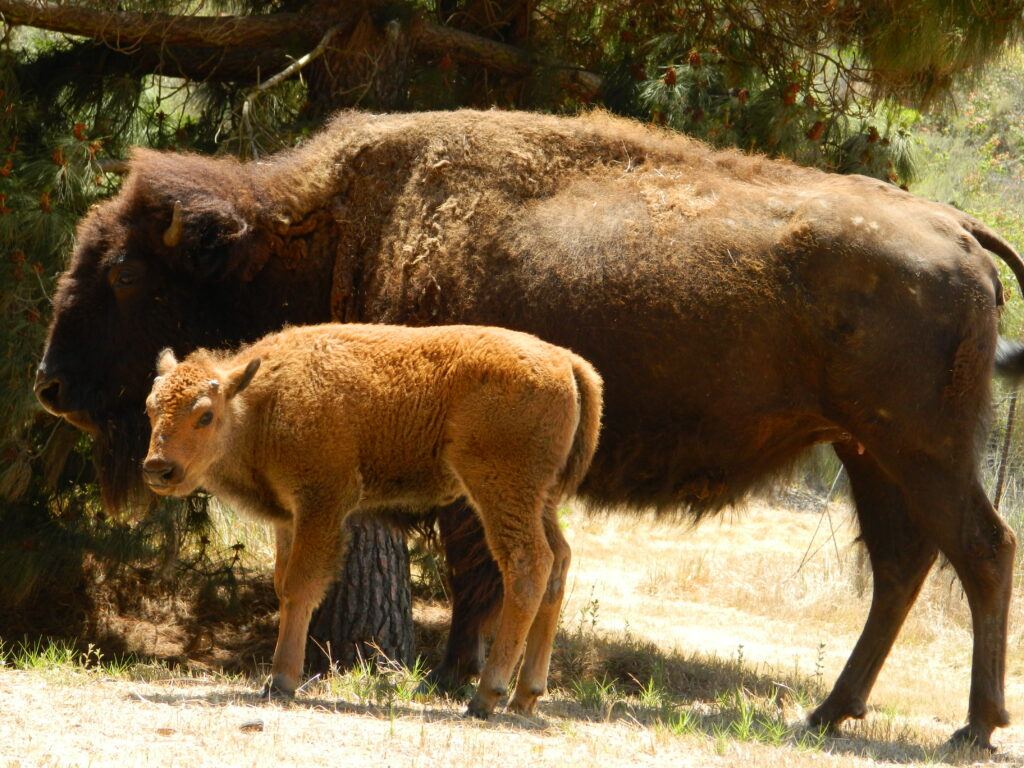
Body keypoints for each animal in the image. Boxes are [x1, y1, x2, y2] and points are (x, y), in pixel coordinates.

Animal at [142, 321, 598, 720]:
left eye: (205, 415)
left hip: (501, 489)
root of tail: (567, 362)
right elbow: (283, 585)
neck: (262, 400)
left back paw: (485, 697)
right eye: (150, 409)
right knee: (559, 561)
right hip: (541, 498)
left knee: (527, 565)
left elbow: (301, 586)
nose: (158, 468)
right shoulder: (289, 518)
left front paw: (281, 680)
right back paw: (525, 697)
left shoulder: (322, 503)